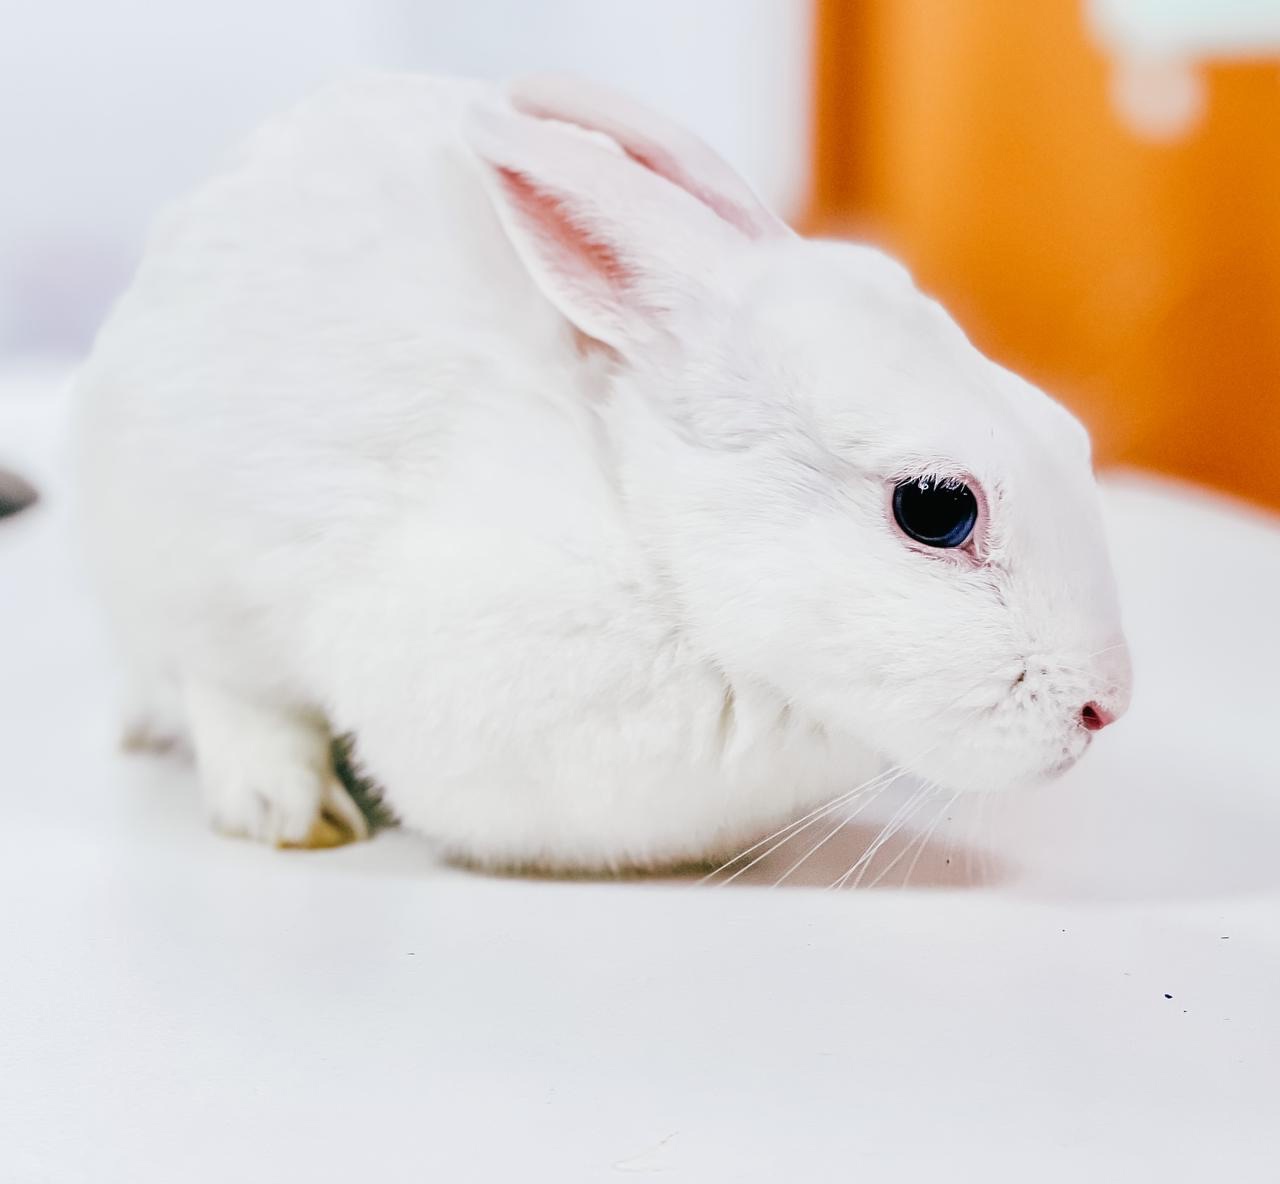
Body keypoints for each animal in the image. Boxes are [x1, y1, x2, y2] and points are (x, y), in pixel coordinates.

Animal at [73, 72, 1132, 870]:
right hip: (194, 571)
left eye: (1068, 436)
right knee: (223, 689)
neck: (651, 535)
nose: (1106, 706)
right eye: (936, 510)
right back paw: (289, 808)